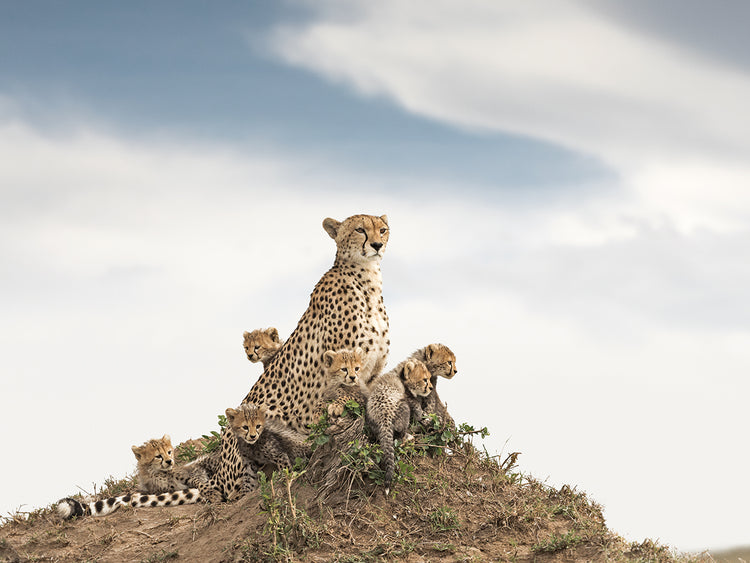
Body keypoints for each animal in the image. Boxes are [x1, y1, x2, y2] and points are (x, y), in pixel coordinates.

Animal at [365, 359, 433, 494]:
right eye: (425, 379)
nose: (431, 388)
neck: (399, 374)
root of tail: (384, 419)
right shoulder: (408, 398)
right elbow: (418, 411)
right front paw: (423, 417)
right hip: (403, 408)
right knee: (400, 433)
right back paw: (408, 436)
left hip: (372, 422)